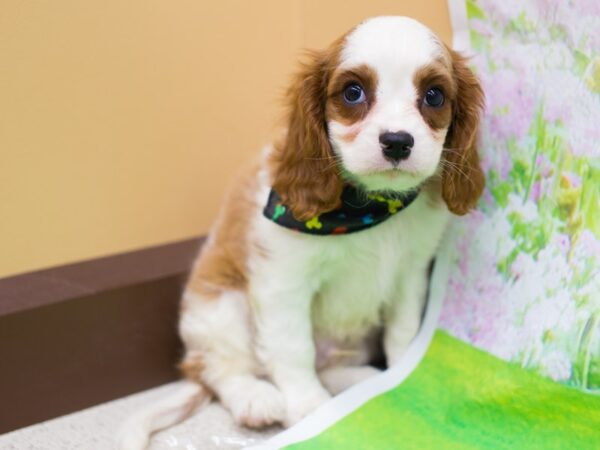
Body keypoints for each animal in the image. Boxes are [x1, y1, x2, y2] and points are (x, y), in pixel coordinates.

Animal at [119, 15, 486, 448]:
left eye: (434, 96)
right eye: (353, 92)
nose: (397, 141)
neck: (368, 206)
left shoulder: (410, 275)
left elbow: (403, 333)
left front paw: (400, 381)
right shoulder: (283, 281)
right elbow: (294, 348)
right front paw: (311, 408)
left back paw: (361, 381)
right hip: (219, 307)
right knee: (221, 368)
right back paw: (257, 398)